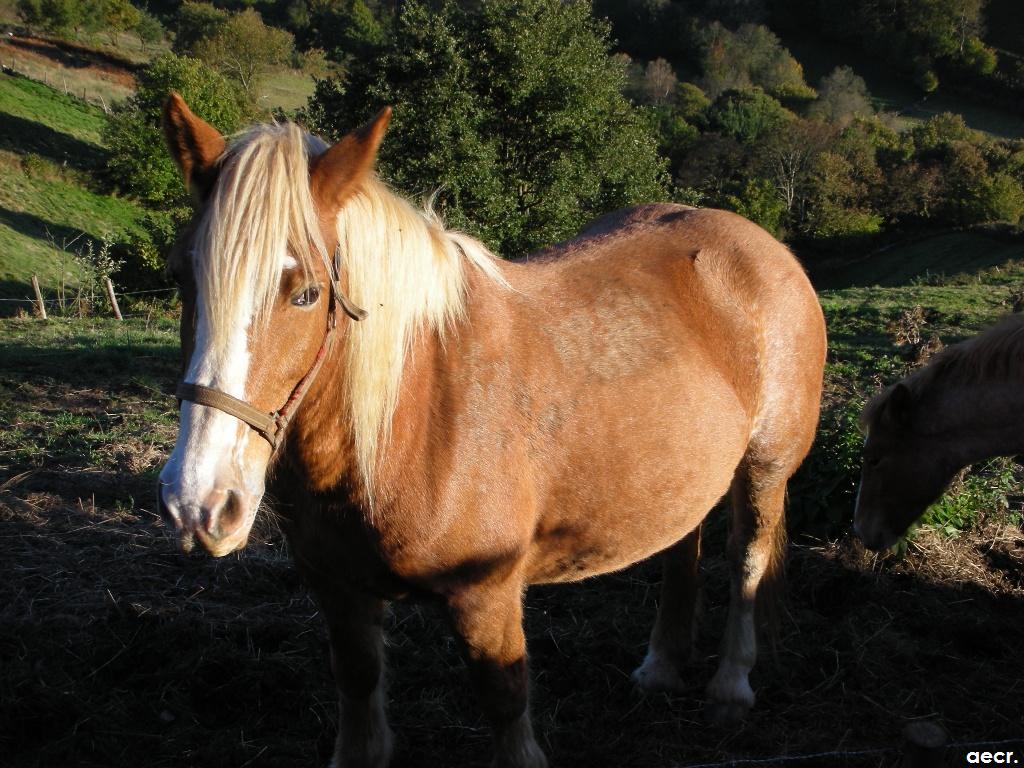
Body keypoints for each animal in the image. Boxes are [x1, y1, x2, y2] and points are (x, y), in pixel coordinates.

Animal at [155, 96, 827, 768]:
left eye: (307, 294)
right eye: (183, 277)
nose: (199, 503)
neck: (413, 416)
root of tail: (763, 248)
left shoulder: (487, 596)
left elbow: (507, 707)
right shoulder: (339, 593)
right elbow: (360, 696)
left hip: (764, 468)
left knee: (745, 556)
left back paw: (731, 687)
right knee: (681, 547)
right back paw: (661, 668)